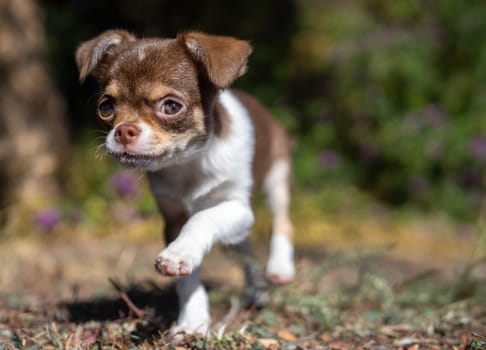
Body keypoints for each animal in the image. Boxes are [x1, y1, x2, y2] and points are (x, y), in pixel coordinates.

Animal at [77, 30, 296, 334]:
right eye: (106, 107)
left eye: (171, 106)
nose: (123, 131)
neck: (188, 163)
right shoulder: (173, 218)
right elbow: (187, 280)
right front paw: (192, 321)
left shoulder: (238, 207)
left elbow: (201, 218)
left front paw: (180, 253)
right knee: (244, 248)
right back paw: (256, 291)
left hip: (277, 176)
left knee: (282, 221)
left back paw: (280, 268)